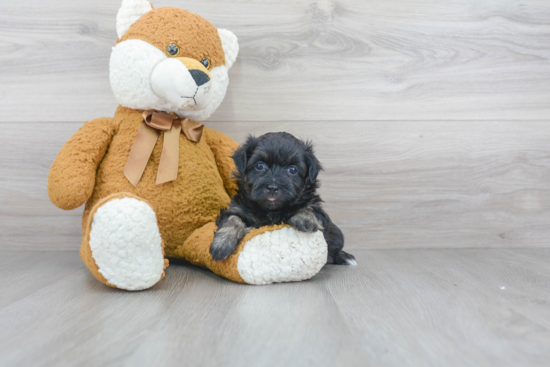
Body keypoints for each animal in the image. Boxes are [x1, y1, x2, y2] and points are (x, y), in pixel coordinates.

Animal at [209, 134, 356, 266]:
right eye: (260, 166)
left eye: (292, 170)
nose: (273, 187)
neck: (272, 210)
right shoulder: (237, 208)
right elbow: (232, 220)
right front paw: (221, 244)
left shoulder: (316, 207)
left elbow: (310, 207)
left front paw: (305, 219)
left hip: (337, 235)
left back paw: (343, 256)